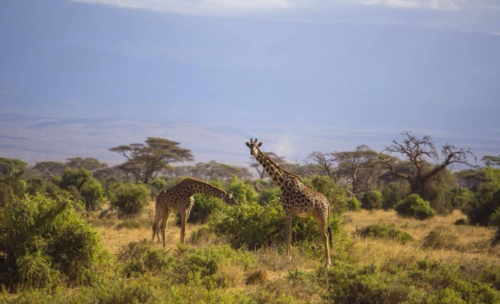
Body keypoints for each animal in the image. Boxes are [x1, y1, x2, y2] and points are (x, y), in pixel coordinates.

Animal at [246, 139, 332, 268]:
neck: (282, 183)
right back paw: (326, 261)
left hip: (322, 215)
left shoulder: (288, 211)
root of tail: (327, 202)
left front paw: (288, 258)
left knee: (326, 235)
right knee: (324, 233)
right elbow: (289, 234)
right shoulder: (289, 212)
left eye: (256, 146)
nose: (253, 152)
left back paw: (327, 263)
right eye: (250, 146)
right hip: (317, 216)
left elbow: (288, 234)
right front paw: (288, 257)